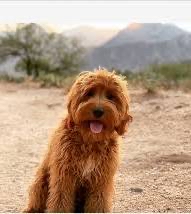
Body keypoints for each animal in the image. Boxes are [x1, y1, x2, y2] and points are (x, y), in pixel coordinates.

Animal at [23, 68, 132, 212]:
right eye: (89, 93)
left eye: (110, 96)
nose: (98, 111)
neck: (89, 140)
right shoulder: (64, 174)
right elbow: (60, 199)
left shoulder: (101, 179)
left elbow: (99, 201)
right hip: (41, 181)